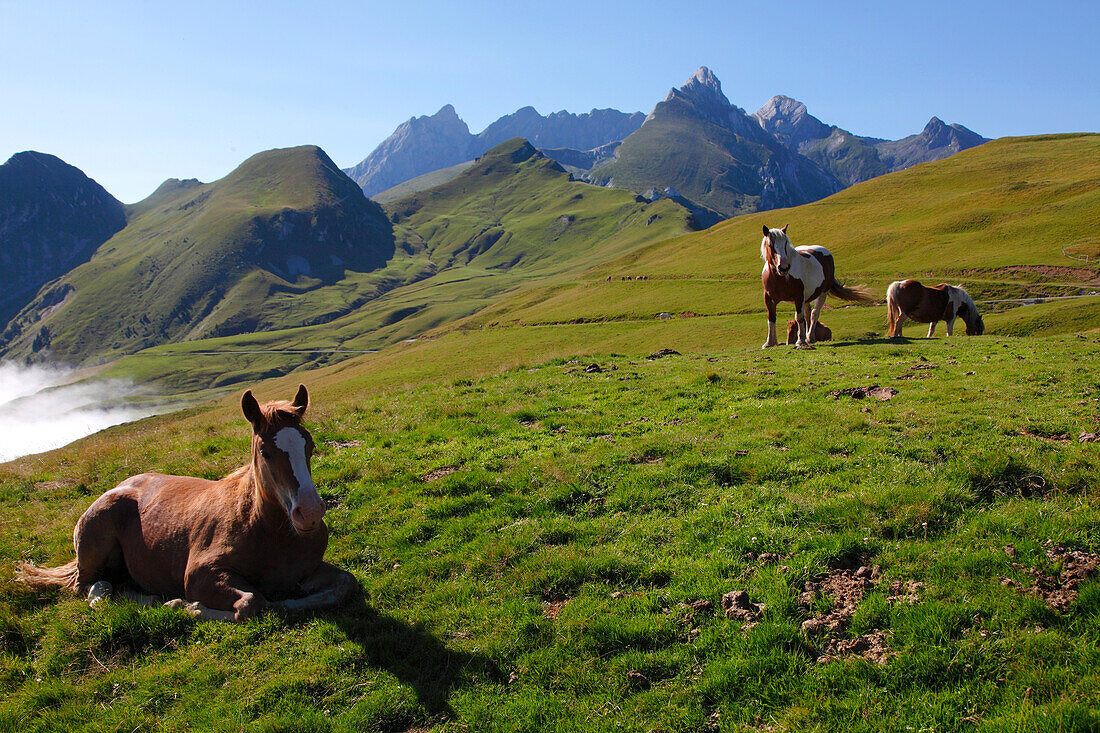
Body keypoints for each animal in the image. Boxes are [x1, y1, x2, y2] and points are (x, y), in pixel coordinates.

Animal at [16, 385, 356, 620]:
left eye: (309, 445)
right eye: (265, 452)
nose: (309, 514)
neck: (264, 528)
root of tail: (116, 488)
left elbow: (345, 584)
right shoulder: (200, 575)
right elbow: (252, 603)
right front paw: (186, 605)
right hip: (94, 544)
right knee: (91, 587)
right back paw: (146, 599)